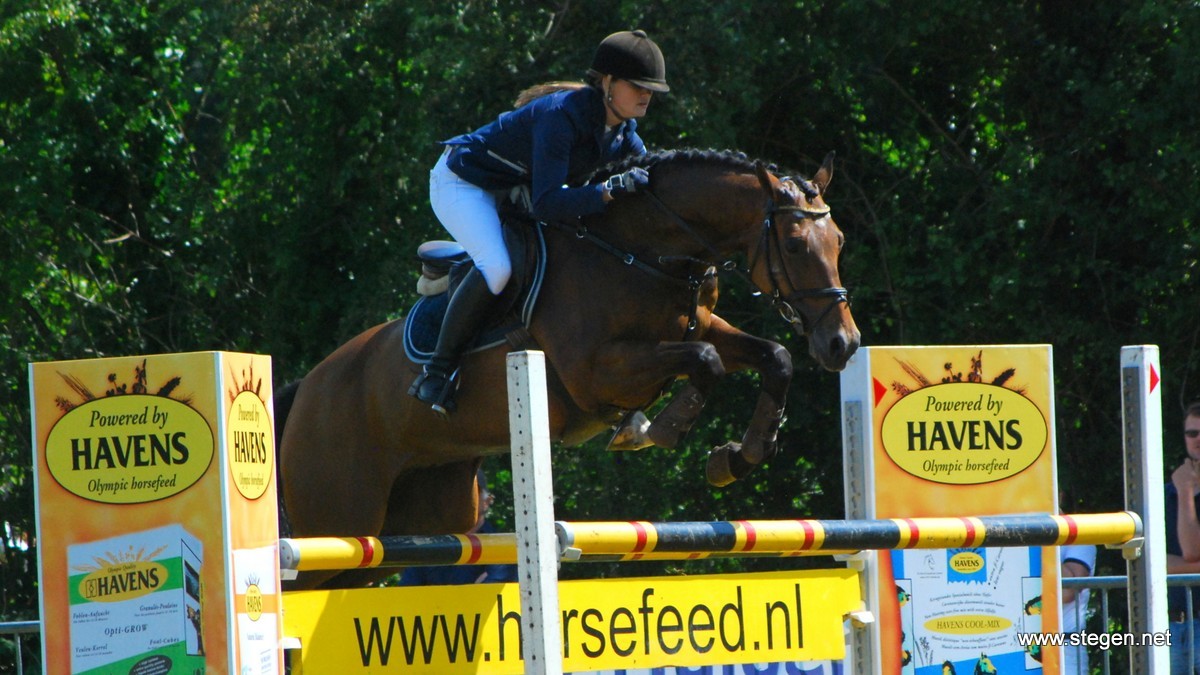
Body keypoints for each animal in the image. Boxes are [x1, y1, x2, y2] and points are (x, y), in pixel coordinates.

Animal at [278, 145, 864, 583]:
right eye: (795, 244)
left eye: (839, 241)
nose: (844, 344)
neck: (638, 251)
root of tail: (308, 386)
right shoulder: (596, 372)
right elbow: (706, 362)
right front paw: (662, 428)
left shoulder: (700, 327)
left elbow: (774, 357)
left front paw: (737, 457)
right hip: (336, 517)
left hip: (412, 524)